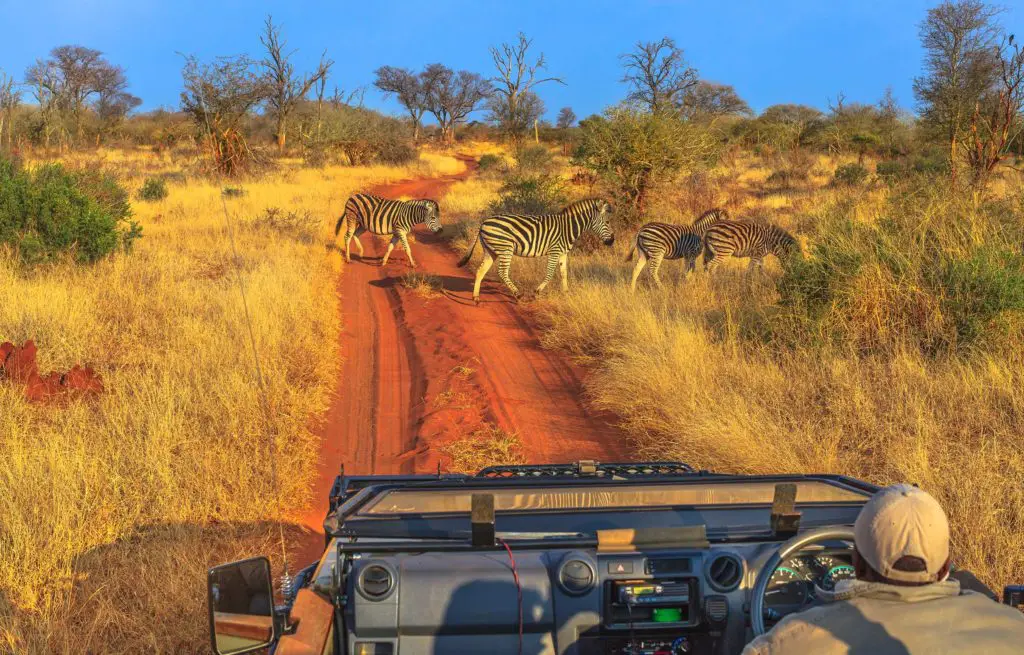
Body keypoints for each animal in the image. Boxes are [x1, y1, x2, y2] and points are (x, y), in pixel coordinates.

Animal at [456, 198, 614, 303]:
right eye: (607, 222)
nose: (612, 241)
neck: (568, 228)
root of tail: (484, 221)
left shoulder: (563, 253)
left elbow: (564, 273)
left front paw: (566, 293)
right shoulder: (554, 250)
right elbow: (550, 273)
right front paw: (536, 292)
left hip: (491, 251)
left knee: (480, 271)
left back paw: (476, 297)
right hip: (505, 249)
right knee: (502, 272)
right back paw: (518, 294)